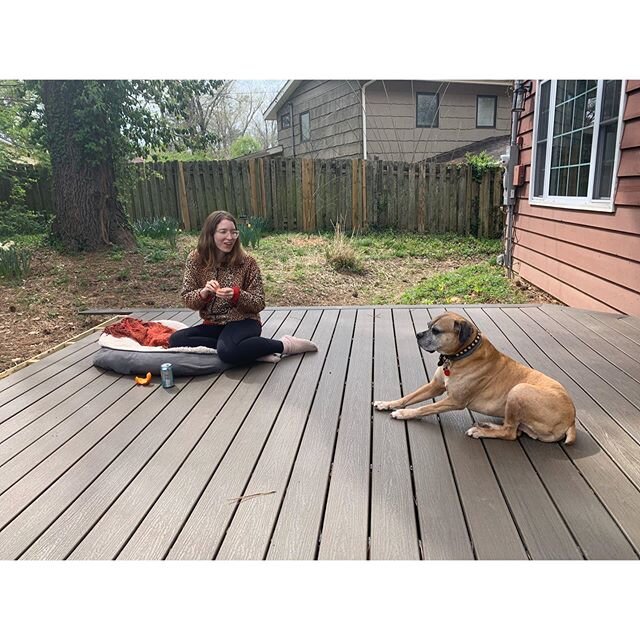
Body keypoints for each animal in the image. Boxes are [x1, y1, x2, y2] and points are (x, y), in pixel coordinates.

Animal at [372, 312, 576, 442]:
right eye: (428, 325)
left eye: (436, 331)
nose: (417, 334)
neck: (462, 354)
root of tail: (572, 420)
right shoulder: (434, 385)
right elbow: (408, 397)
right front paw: (387, 403)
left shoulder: (454, 401)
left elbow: (425, 408)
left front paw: (404, 414)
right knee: (514, 430)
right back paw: (487, 425)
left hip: (519, 390)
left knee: (511, 433)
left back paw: (480, 431)